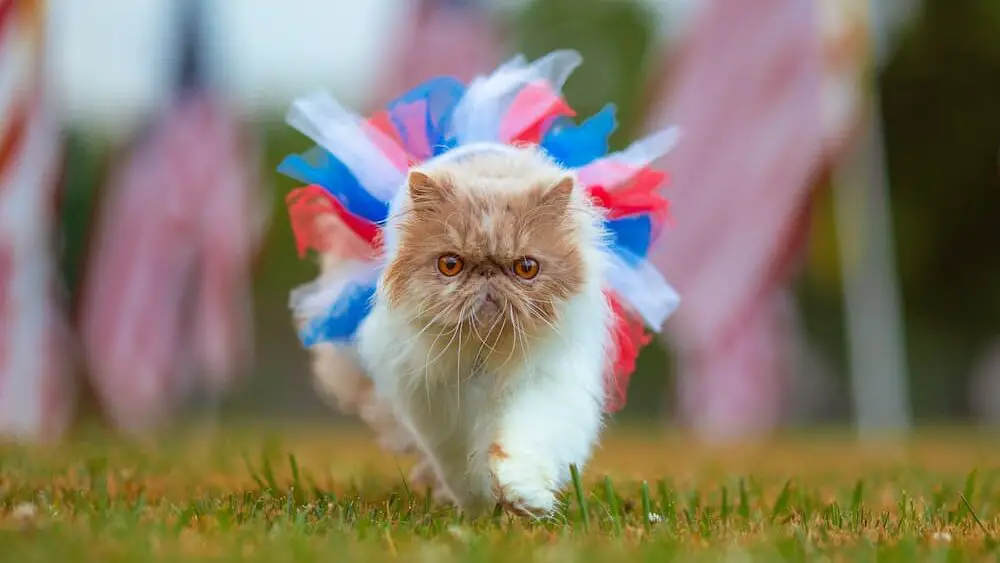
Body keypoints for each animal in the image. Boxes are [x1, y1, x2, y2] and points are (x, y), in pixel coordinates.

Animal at [312, 143, 612, 516]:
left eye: (526, 268)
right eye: (450, 265)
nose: (487, 273)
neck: (483, 350)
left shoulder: (544, 385)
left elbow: (523, 440)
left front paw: (523, 496)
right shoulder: (437, 407)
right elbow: (462, 468)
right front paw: (482, 508)